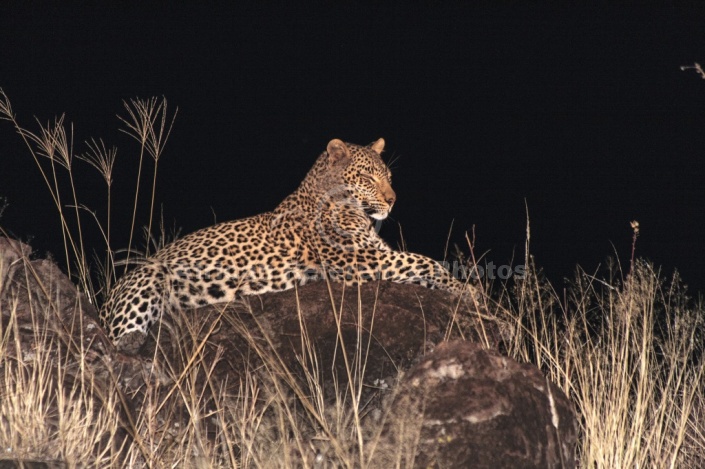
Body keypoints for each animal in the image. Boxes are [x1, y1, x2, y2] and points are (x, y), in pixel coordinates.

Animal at [99, 138, 476, 352]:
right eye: (368, 177)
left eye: (389, 177)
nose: (393, 200)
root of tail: (105, 297)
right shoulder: (360, 260)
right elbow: (424, 261)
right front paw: (466, 288)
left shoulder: (375, 255)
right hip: (149, 276)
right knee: (115, 338)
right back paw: (132, 341)